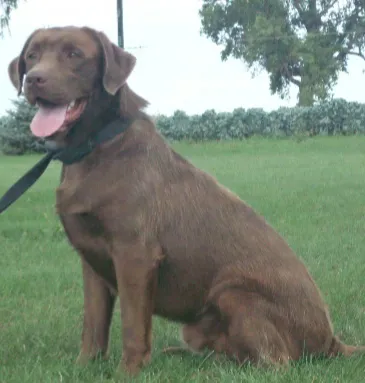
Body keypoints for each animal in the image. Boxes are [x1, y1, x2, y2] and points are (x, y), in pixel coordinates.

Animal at [7, 27, 362, 378]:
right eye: (32, 56)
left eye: (74, 54)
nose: (34, 79)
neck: (95, 146)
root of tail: (331, 341)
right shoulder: (91, 259)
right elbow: (93, 326)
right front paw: (85, 368)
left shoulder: (135, 254)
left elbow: (133, 326)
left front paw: (128, 372)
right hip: (198, 324)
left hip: (233, 293)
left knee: (275, 363)